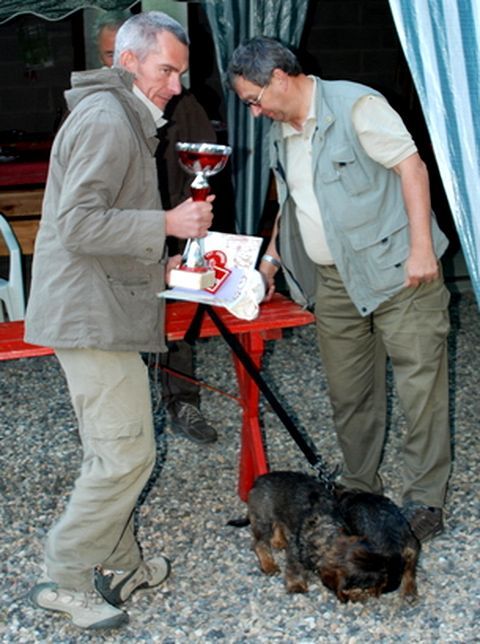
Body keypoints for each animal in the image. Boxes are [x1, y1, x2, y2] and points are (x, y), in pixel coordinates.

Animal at [242, 470, 418, 600]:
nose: (375, 594)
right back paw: (269, 564)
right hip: (263, 519)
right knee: (259, 543)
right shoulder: (295, 551)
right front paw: (296, 585)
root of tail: (260, 479)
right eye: (367, 585)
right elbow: (294, 568)